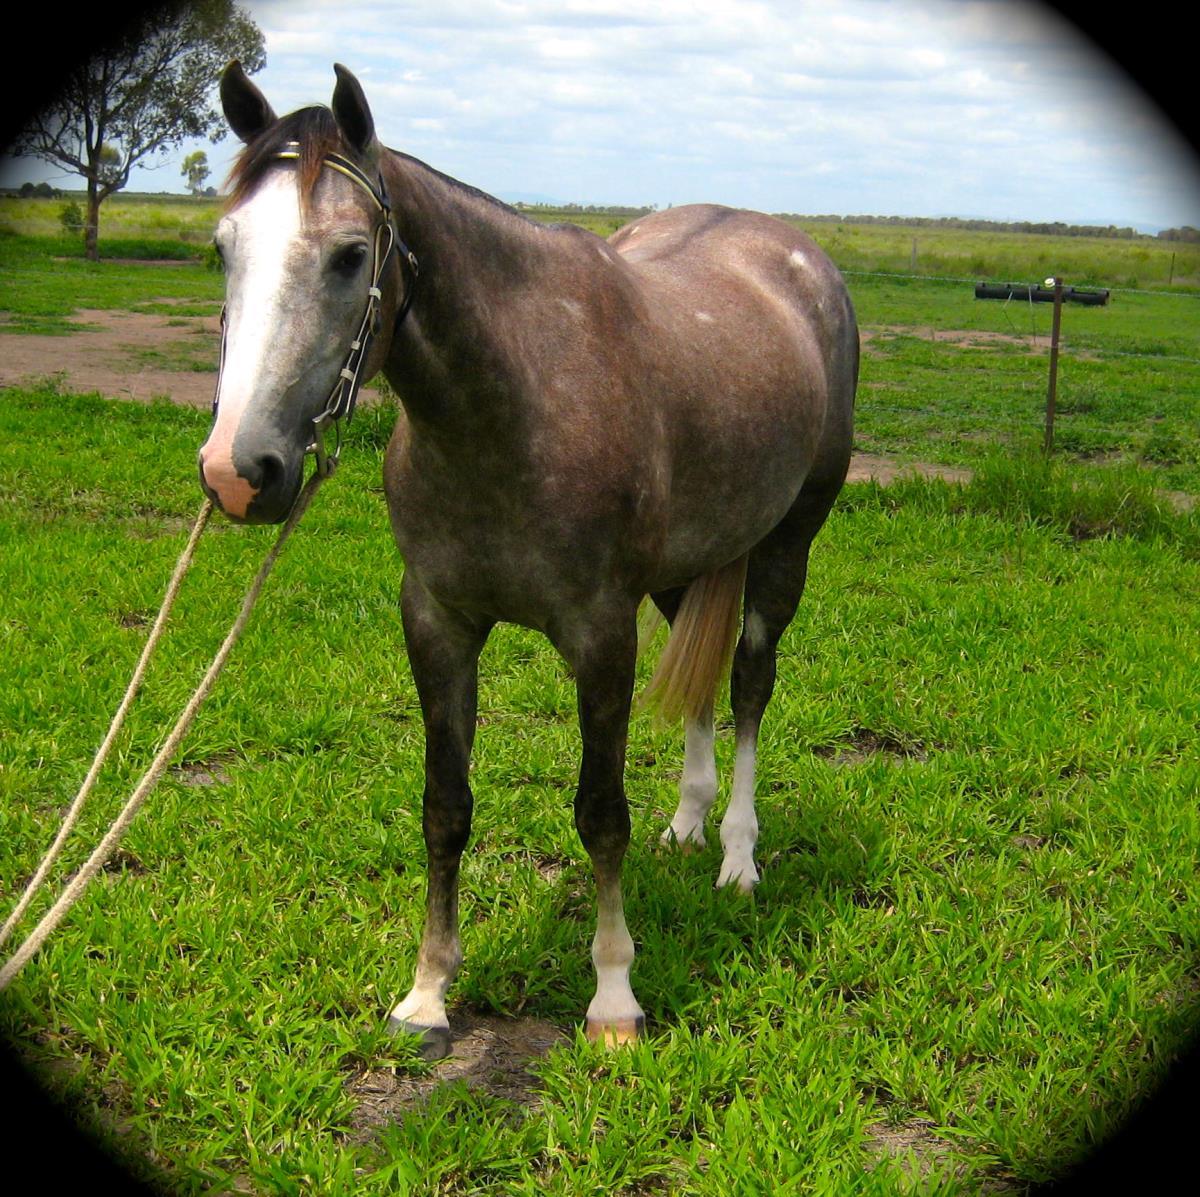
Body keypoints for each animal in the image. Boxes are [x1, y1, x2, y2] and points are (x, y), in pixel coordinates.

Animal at [199, 62, 859, 1059]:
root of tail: (798, 258)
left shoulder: (600, 634)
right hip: (685, 569)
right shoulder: (438, 622)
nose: (239, 473)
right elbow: (445, 804)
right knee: (703, 687)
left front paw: (614, 996)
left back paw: (739, 856)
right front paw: (428, 991)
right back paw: (689, 823)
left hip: (787, 548)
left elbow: (599, 813)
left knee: (748, 684)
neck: (516, 399)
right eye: (224, 246)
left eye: (350, 255)